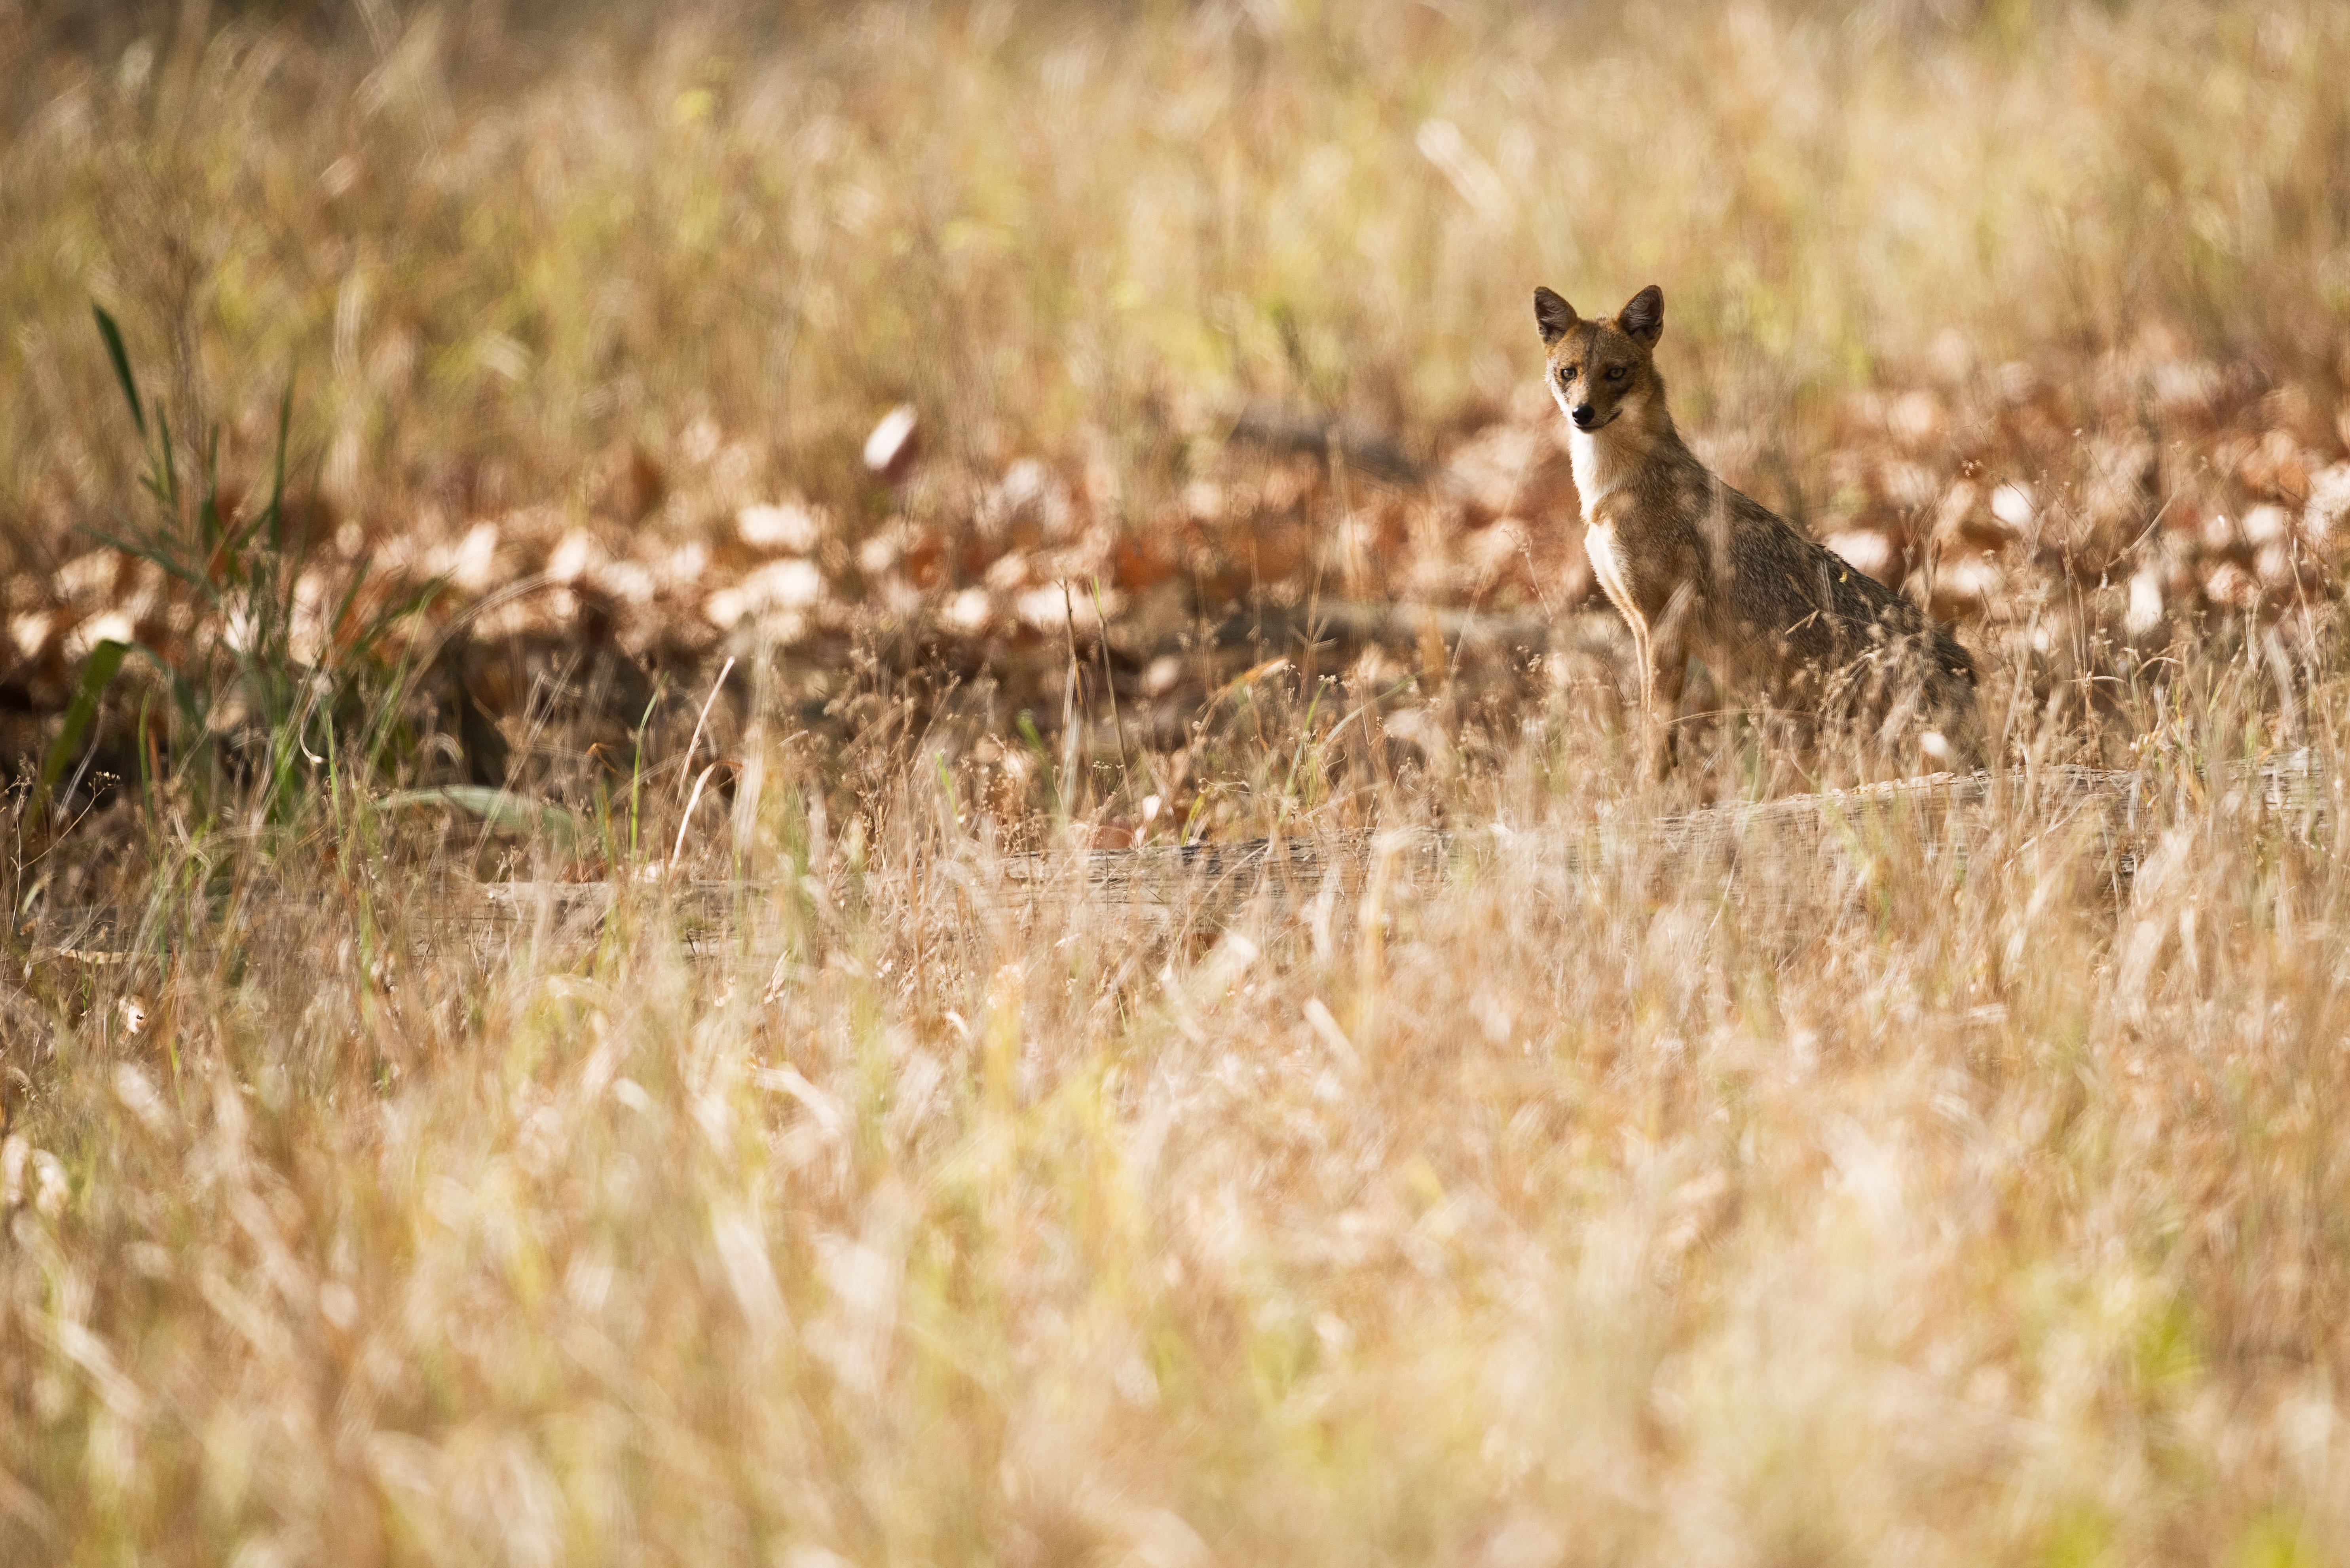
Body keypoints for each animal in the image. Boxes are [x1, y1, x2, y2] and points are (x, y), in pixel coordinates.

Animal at [1534, 282, 1978, 774]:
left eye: (1615, 373)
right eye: (1568, 373)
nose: (1582, 413)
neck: (1607, 492)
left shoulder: (1663, 622)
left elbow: (1659, 729)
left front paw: (1650, 786)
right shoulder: (1637, 622)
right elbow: (1652, 719)